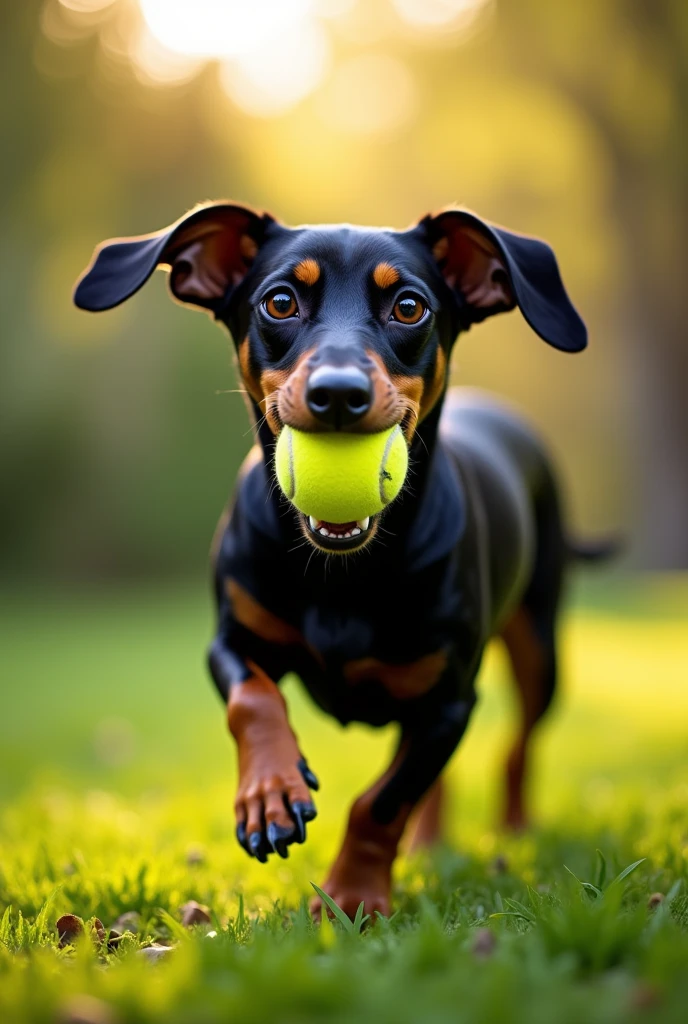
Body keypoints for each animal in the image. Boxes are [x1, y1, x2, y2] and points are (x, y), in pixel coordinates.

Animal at [75, 201, 597, 921]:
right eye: (280, 301)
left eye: (409, 306)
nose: (339, 394)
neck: (344, 570)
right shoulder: (231, 640)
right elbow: (253, 700)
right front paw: (270, 794)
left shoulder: (449, 700)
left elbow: (381, 801)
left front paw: (353, 897)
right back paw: (431, 846)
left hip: (539, 650)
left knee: (516, 745)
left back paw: (515, 827)